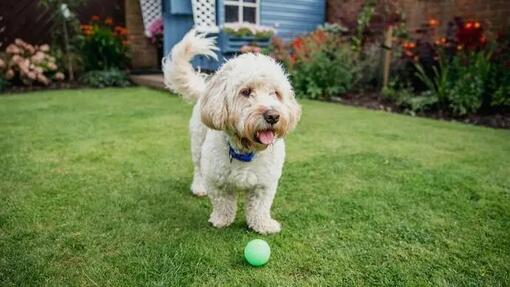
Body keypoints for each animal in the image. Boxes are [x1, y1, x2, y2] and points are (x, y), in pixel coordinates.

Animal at [162, 30, 298, 235]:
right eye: (246, 91)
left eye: (275, 93)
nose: (273, 116)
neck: (246, 151)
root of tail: (205, 90)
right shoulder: (216, 180)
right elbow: (223, 204)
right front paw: (221, 220)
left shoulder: (265, 184)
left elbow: (259, 207)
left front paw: (263, 225)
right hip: (198, 145)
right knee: (198, 168)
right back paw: (198, 187)